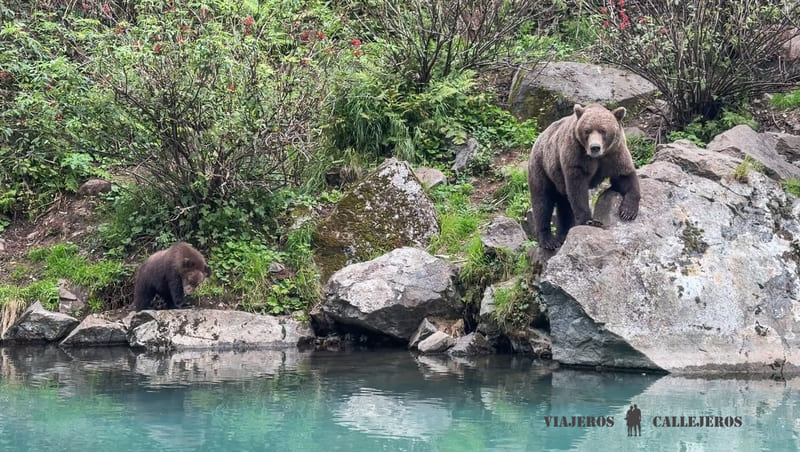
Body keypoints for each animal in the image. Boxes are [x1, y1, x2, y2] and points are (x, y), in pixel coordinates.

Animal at [527, 103, 640, 250]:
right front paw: (589, 221)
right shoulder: (576, 157)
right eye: (587, 130)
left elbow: (625, 177)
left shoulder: (615, 154)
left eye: (603, 130)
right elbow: (578, 189)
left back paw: (563, 234)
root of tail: (540, 136)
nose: (595, 147)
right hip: (542, 167)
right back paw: (548, 240)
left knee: (564, 205)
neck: (597, 157)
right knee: (542, 201)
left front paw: (628, 211)